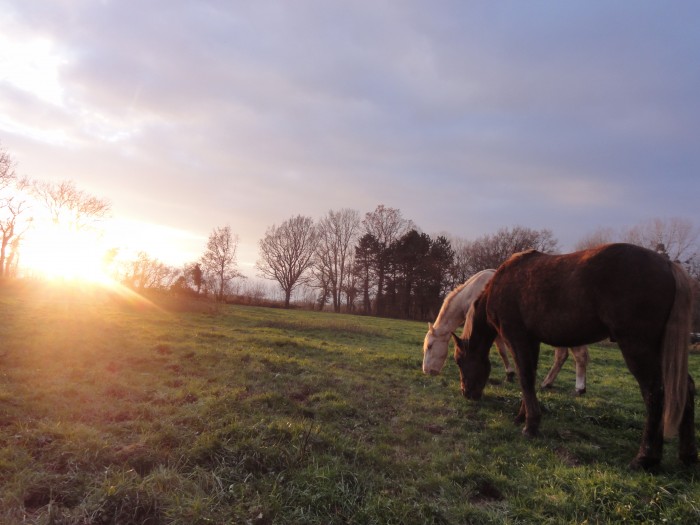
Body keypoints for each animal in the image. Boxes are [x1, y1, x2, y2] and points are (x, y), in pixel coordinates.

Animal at [424, 270, 588, 392]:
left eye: (430, 346)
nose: (426, 371)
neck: (472, 292)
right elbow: (503, 350)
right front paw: (510, 374)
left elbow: (502, 351)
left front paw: (509, 373)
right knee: (562, 356)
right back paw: (547, 383)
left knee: (579, 355)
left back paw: (579, 388)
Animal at [452, 244, 696, 468]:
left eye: (459, 361)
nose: (466, 393)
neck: (501, 283)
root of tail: (667, 265)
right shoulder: (532, 340)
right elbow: (529, 377)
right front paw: (523, 416)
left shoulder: (517, 338)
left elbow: (525, 378)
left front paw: (530, 425)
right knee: (685, 387)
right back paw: (686, 456)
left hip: (637, 346)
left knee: (655, 393)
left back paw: (645, 457)